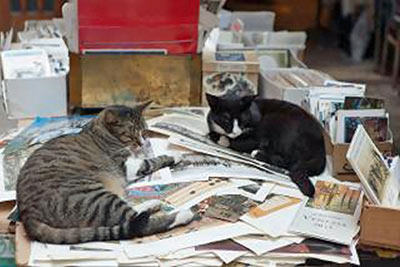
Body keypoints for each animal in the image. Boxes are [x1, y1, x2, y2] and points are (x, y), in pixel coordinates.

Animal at [16, 104, 195, 245]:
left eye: (144, 131)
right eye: (130, 135)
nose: (142, 143)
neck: (97, 129)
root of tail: (28, 215)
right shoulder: (129, 166)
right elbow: (153, 160)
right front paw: (175, 155)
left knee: (133, 214)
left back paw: (152, 204)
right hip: (94, 198)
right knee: (137, 223)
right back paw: (182, 215)